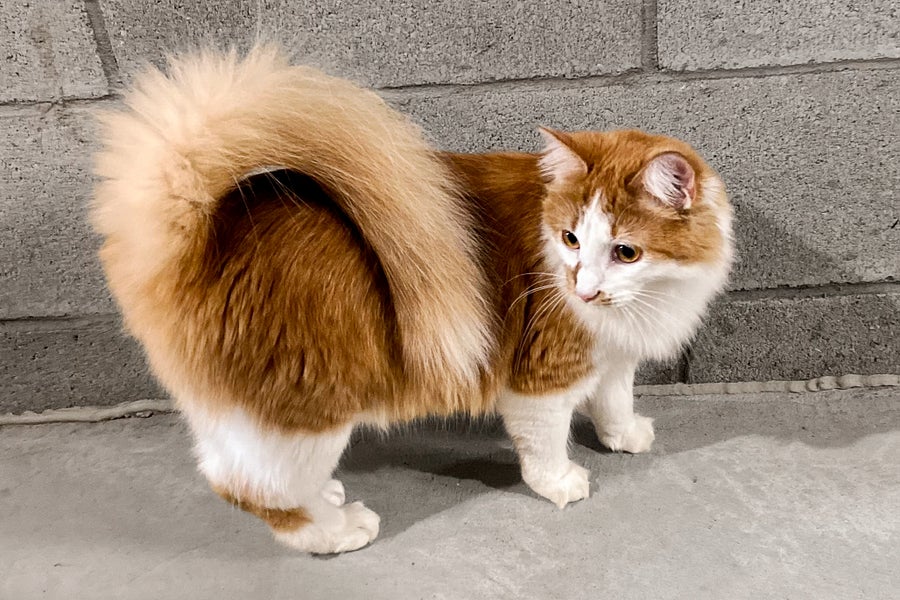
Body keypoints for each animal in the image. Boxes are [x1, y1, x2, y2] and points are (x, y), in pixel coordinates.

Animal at [93, 47, 732, 552]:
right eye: (571, 239)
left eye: (625, 252)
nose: (585, 288)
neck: (645, 302)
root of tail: (208, 232)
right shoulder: (541, 377)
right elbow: (546, 441)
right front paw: (560, 482)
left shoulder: (613, 355)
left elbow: (614, 399)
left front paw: (624, 437)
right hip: (312, 401)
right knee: (250, 486)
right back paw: (337, 531)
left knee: (228, 462)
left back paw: (327, 497)